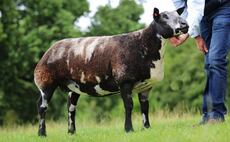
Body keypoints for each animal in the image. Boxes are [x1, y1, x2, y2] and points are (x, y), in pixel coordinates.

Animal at [34, 8, 189, 136]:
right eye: (164, 17)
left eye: (178, 14)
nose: (184, 25)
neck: (143, 44)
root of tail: (49, 51)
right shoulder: (125, 81)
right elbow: (129, 105)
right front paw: (129, 130)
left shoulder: (146, 86)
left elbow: (145, 107)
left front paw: (147, 128)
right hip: (46, 81)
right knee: (42, 106)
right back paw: (42, 134)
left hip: (74, 86)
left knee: (71, 108)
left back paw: (71, 133)